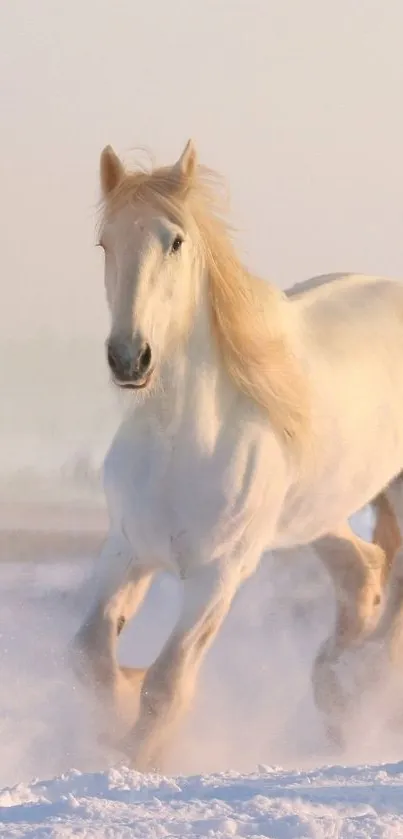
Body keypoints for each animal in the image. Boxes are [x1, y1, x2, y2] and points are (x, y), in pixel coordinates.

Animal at [71, 139, 403, 771]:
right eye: (105, 243)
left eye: (175, 241)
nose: (129, 358)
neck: (180, 442)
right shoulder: (126, 550)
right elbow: (92, 657)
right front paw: (115, 717)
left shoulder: (217, 575)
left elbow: (167, 683)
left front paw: (136, 758)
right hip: (317, 514)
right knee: (364, 573)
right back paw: (337, 692)